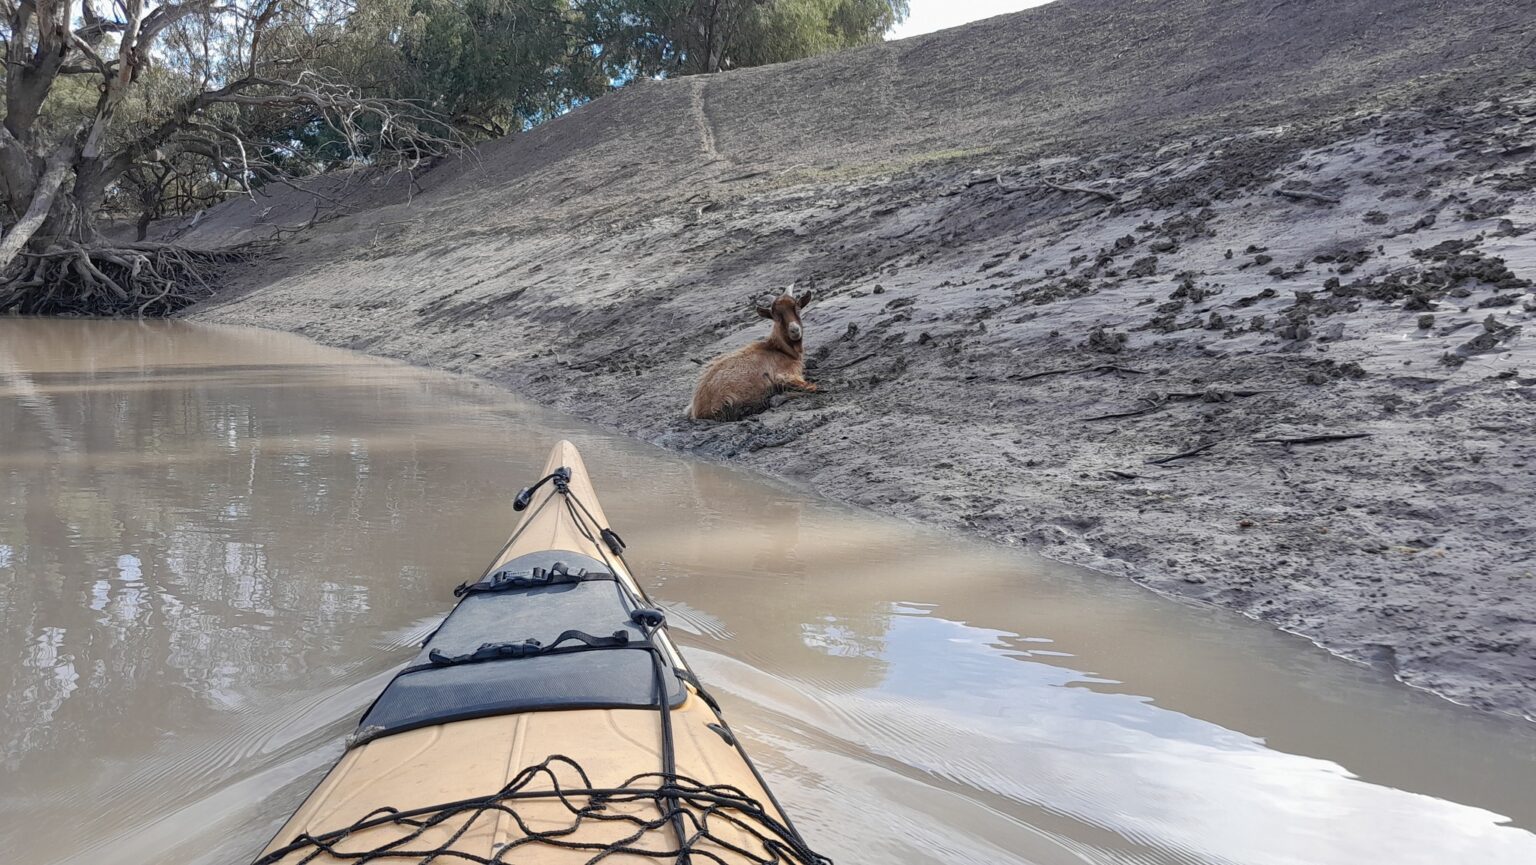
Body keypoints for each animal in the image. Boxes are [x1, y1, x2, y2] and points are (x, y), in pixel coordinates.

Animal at [689, 286, 816, 421]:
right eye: (776, 316)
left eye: (797, 309)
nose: (795, 330)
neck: (780, 349)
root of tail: (698, 409)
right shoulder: (786, 375)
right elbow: (812, 386)